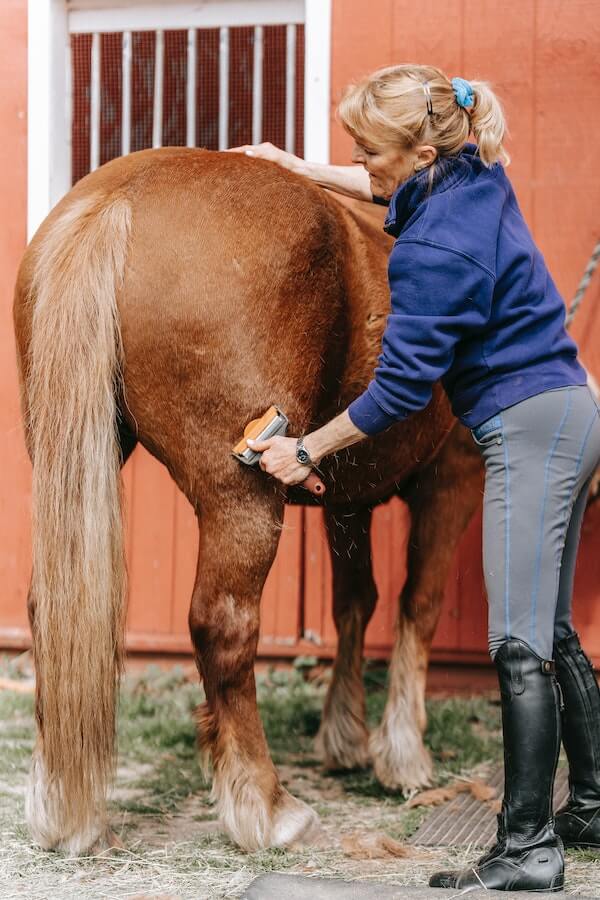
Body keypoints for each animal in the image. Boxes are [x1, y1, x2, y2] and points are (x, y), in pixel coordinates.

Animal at [13, 147, 485, 854]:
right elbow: (417, 605)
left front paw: (344, 737)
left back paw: (65, 811)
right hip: (243, 499)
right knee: (224, 626)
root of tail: (119, 197)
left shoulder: (346, 503)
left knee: (51, 607)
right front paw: (402, 755)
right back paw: (267, 806)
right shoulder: (452, 479)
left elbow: (355, 603)